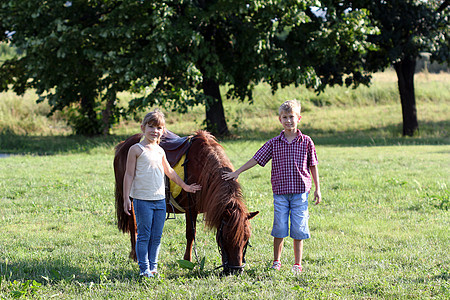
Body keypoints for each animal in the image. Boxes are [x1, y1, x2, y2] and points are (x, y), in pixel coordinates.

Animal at [114, 130, 258, 274]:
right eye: (226, 237)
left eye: (246, 238)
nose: (236, 270)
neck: (203, 168)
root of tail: (123, 145)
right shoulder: (190, 209)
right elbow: (190, 234)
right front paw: (187, 260)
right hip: (130, 201)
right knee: (133, 225)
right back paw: (135, 255)